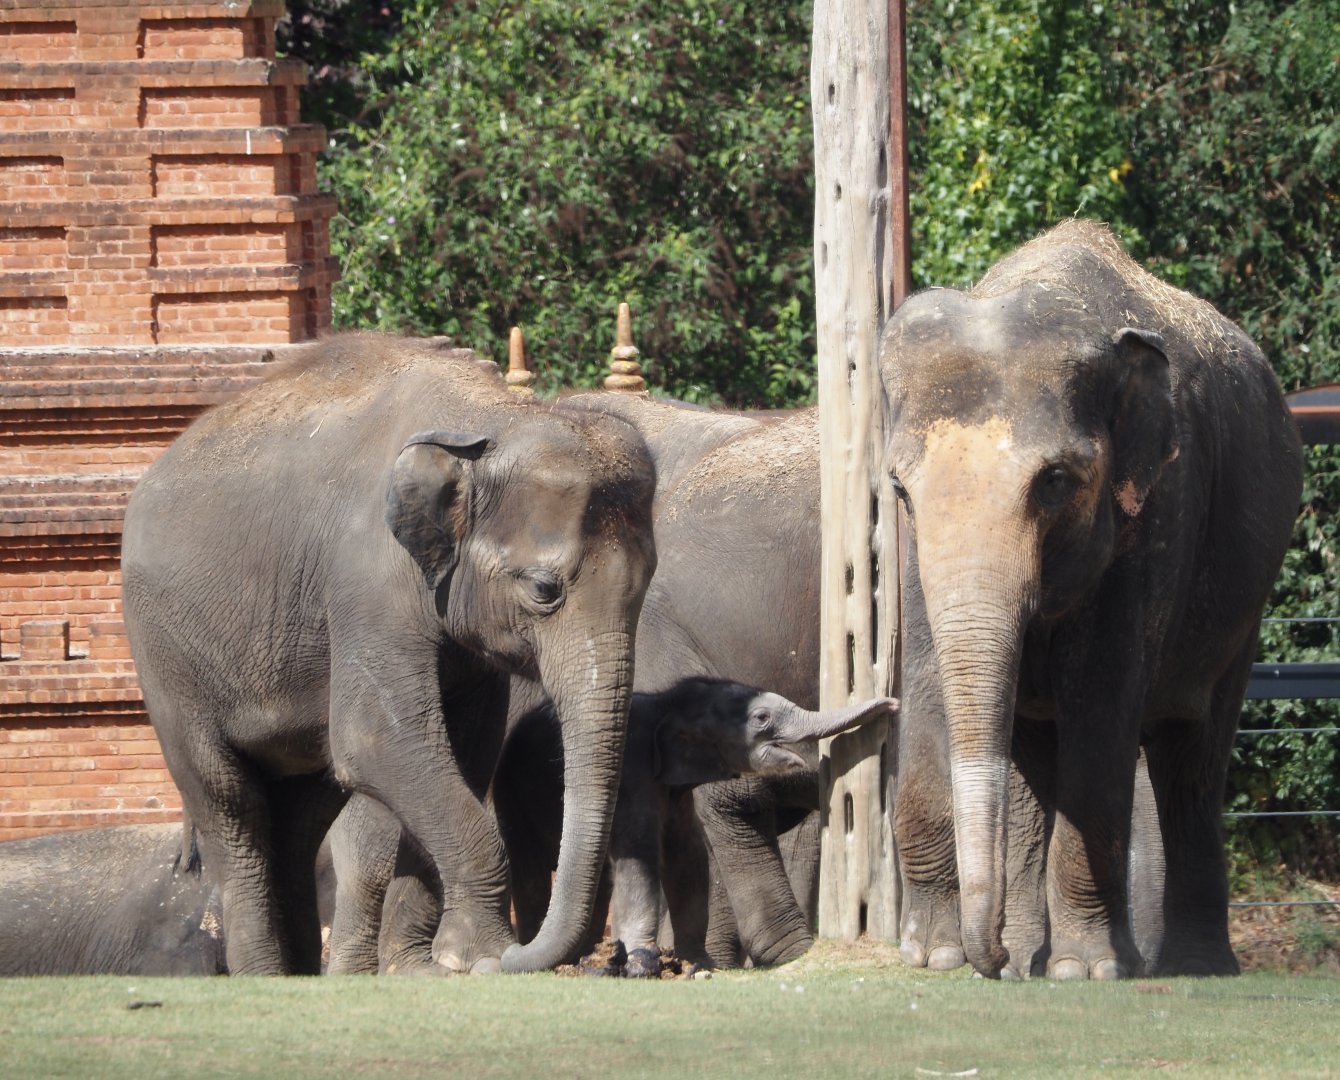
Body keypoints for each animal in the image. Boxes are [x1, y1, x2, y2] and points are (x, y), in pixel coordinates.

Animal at [120, 332, 657, 976]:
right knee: (229, 802)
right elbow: (375, 738)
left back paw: (307, 975)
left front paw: (425, 967)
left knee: (301, 815)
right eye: (543, 589)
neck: (489, 420)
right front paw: (482, 958)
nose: (519, 953)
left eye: (648, 582)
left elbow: (464, 749)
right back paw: (267, 975)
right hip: (163, 657)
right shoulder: (368, 579)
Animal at [879, 219, 1303, 980]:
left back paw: (1187, 965)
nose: (987, 957)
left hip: (1244, 606)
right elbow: (926, 681)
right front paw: (936, 957)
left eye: (1054, 481)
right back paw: (1031, 956)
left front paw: (1086, 969)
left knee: (1191, 759)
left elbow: (1103, 702)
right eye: (900, 487)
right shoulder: (916, 556)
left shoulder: (1159, 512)